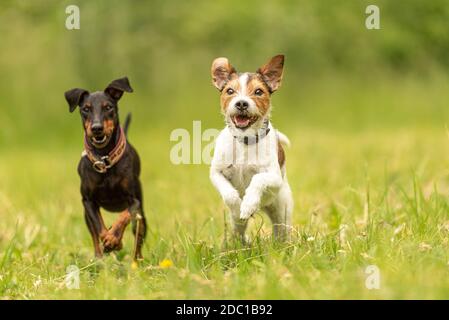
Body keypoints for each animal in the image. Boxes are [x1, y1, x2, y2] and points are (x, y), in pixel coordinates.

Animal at [65, 77, 146, 260]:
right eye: (86, 109)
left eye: (108, 107)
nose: (96, 128)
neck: (105, 159)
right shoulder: (88, 202)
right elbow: (99, 228)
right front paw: (111, 240)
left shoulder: (134, 200)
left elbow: (124, 215)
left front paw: (114, 238)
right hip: (85, 215)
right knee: (94, 235)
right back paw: (99, 258)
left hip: (141, 217)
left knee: (138, 236)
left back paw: (137, 260)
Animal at [210, 55, 294, 241]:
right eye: (230, 91)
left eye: (258, 92)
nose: (241, 103)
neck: (245, 141)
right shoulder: (216, 173)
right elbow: (229, 194)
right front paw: (237, 206)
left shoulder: (274, 177)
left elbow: (258, 179)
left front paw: (248, 203)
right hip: (239, 226)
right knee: (239, 231)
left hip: (282, 211)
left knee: (281, 231)